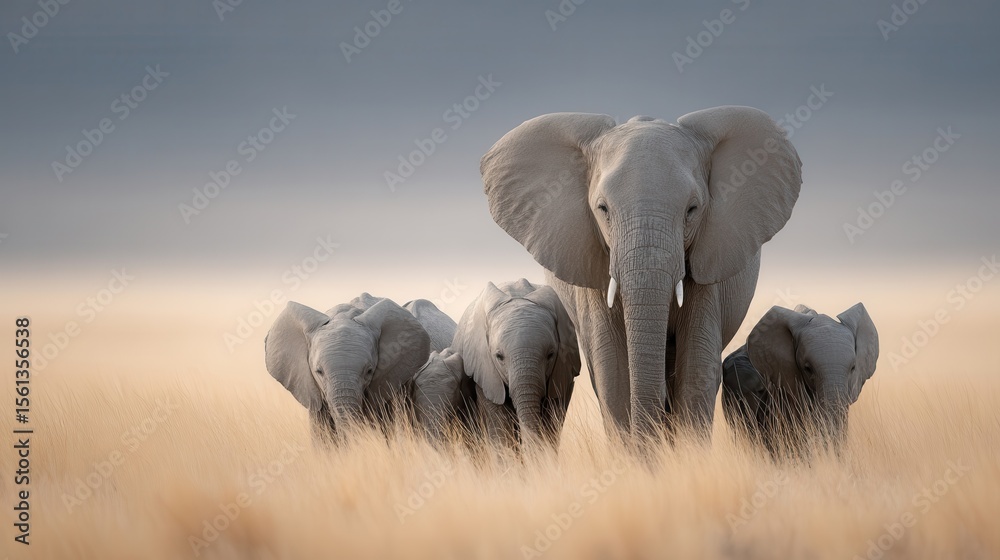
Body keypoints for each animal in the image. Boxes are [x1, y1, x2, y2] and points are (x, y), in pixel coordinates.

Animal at [451, 279, 580, 447]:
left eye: (550, 355)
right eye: (499, 356)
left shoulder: (563, 370)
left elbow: (552, 420)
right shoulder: (485, 372)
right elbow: (500, 425)